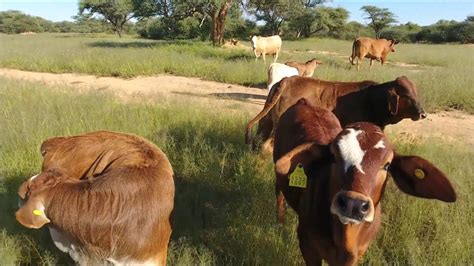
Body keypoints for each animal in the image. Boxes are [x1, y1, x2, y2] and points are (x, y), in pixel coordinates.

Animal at [244, 75, 426, 154]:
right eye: (407, 96)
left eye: (416, 94)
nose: (423, 114)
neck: (373, 98)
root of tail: (288, 79)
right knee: (267, 146)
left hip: (267, 122)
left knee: (259, 141)